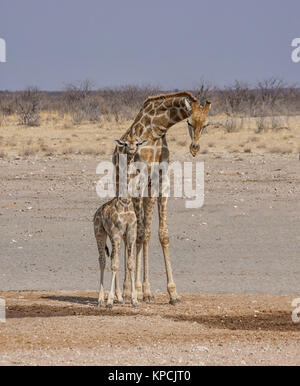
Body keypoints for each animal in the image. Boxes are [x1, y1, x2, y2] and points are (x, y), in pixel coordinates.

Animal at [93, 135, 146, 308]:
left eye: (137, 142)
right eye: (125, 143)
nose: (132, 149)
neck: (125, 201)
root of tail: (96, 213)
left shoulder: (129, 232)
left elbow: (129, 263)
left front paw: (134, 300)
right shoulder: (116, 232)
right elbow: (115, 265)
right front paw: (109, 301)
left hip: (113, 236)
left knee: (112, 258)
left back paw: (119, 297)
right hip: (100, 233)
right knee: (103, 260)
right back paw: (101, 299)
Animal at [112, 90, 211, 304]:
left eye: (206, 124)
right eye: (189, 122)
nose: (194, 148)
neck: (157, 128)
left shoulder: (160, 181)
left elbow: (160, 234)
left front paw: (171, 293)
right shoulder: (138, 182)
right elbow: (137, 234)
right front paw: (134, 290)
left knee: (144, 232)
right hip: (121, 186)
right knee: (128, 232)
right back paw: (124, 291)